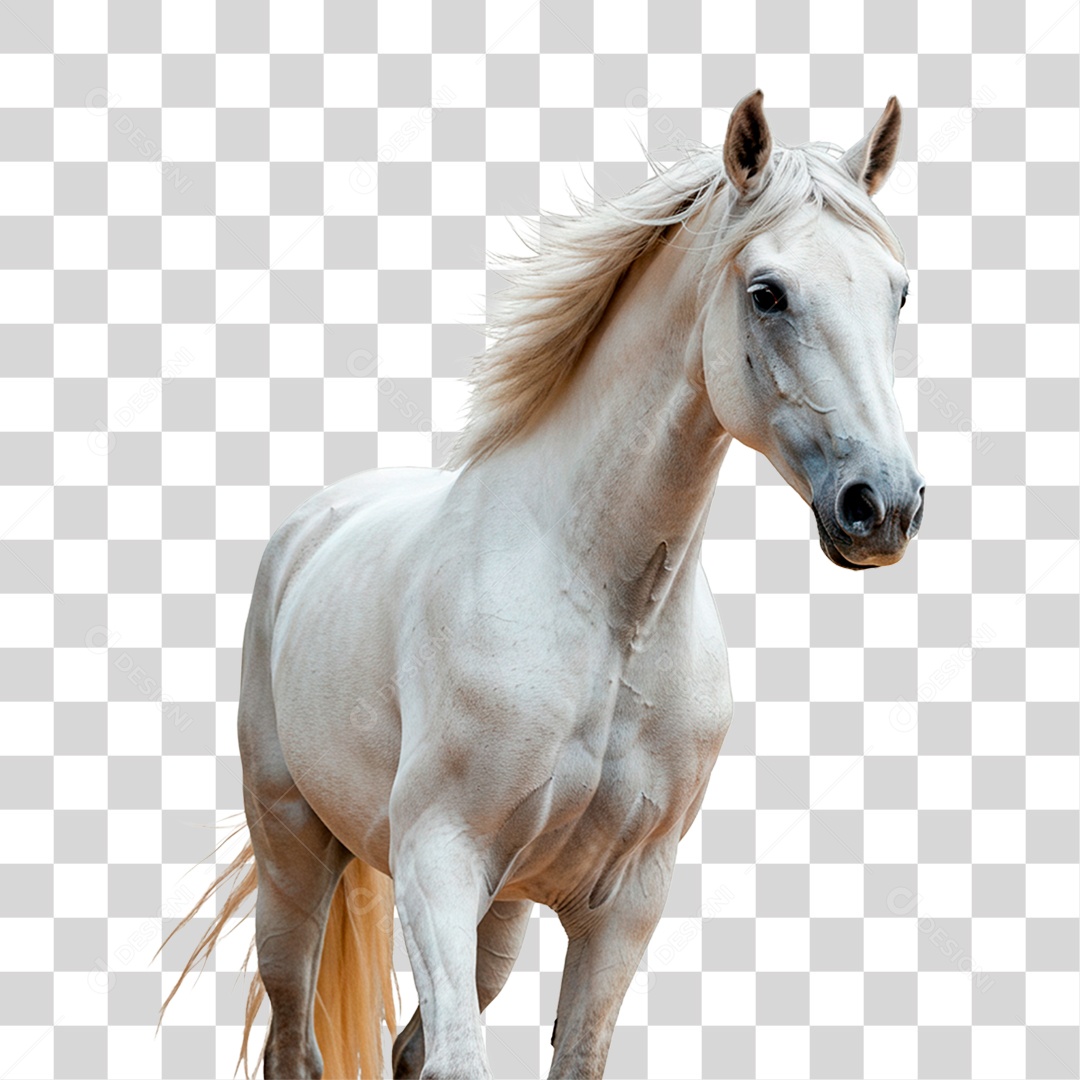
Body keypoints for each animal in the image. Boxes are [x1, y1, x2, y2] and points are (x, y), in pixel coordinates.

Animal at [161, 90, 924, 1079]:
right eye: (768, 292)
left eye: (897, 290)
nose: (885, 506)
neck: (603, 610)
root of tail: (307, 532)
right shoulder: (439, 863)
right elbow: (459, 1060)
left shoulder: (625, 902)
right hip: (294, 859)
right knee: (296, 1045)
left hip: (505, 912)